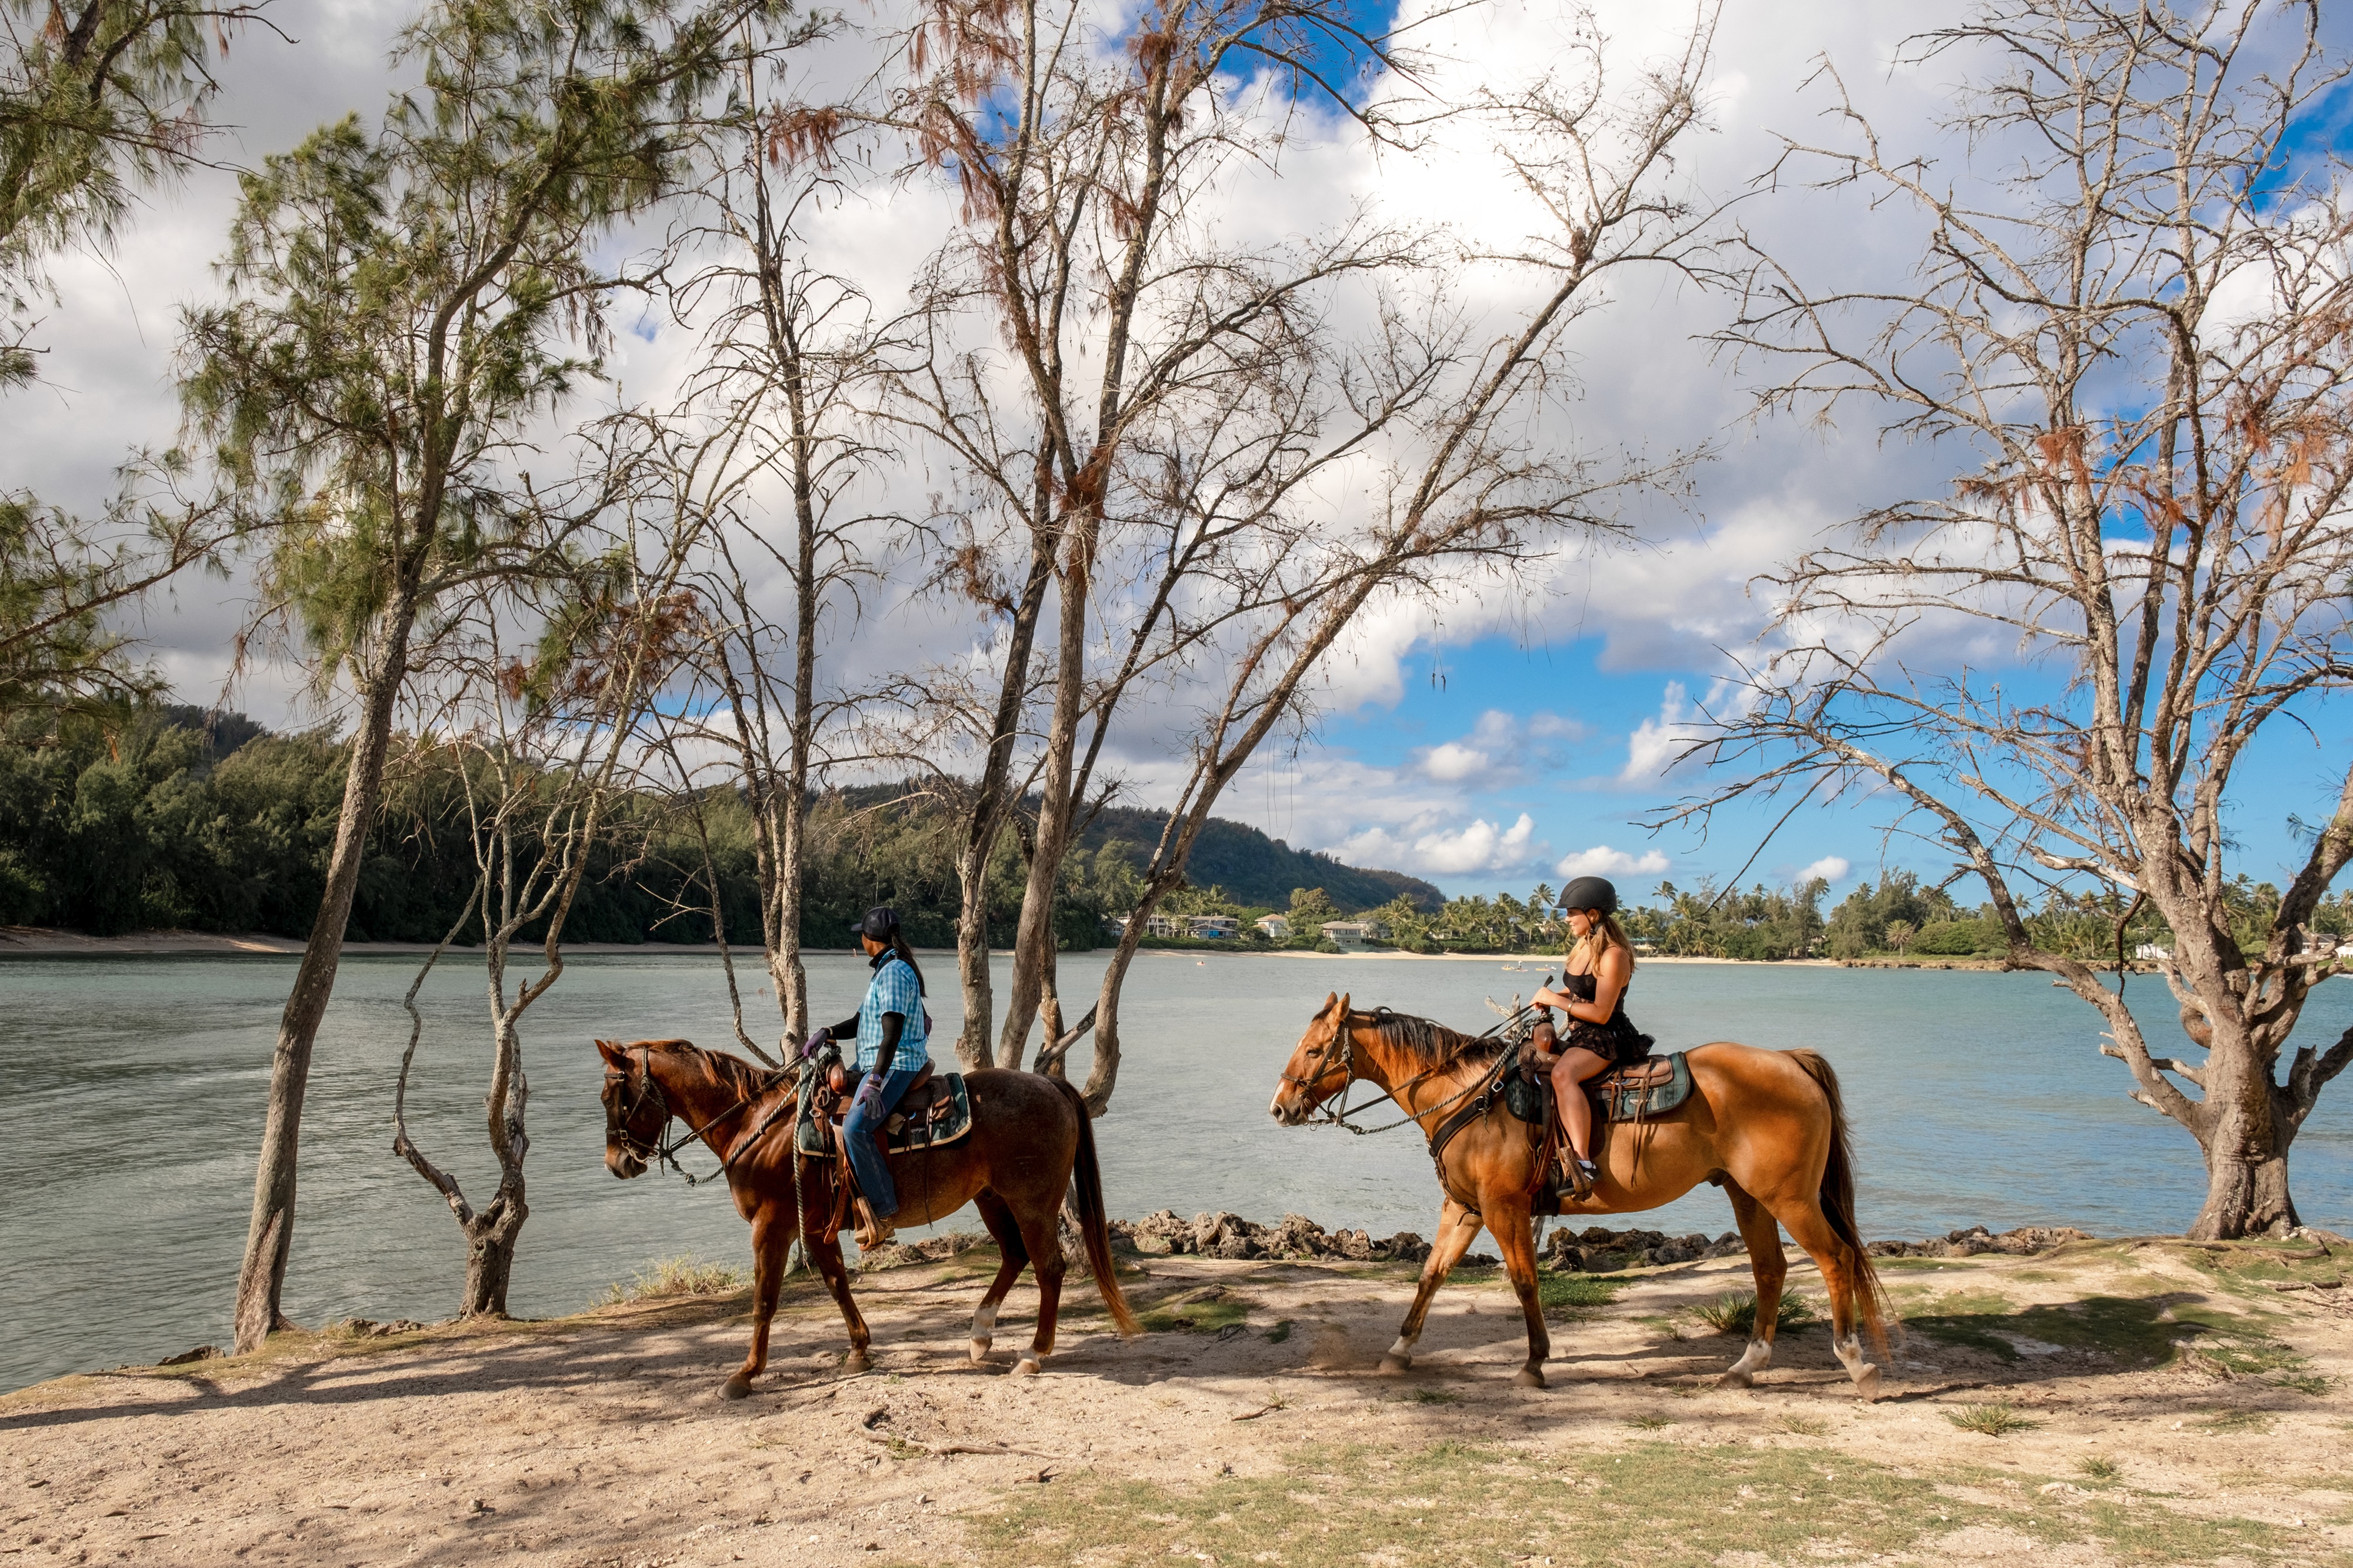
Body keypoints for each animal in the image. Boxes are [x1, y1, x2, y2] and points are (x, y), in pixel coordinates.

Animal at [593, 1036, 1134, 1393]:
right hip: (992, 1199)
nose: (617, 1163)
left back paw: (1034, 1354)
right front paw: (858, 1350)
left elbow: (765, 1300)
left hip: (1032, 1203)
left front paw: (745, 1374)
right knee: (1015, 1257)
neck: (758, 1125)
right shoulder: (814, 1227)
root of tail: (1052, 1085)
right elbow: (837, 1284)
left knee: (1049, 1268)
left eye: (612, 1096)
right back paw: (980, 1336)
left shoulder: (772, 1227)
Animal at [1271, 989, 1892, 1393]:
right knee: (1770, 1270)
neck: (1471, 1096)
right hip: (1749, 1196)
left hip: (1790, 1199)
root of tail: (1790, 1062)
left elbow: (1524, 1282)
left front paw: (1534, 1364)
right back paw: (1745, 1368)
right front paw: (1399, 1352)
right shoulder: (1465, 1207)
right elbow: (1431, 1274)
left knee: (1835, 1259)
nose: (1281, 1107)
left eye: (1315, 1049)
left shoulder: (1503, 1209)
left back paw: (1856, 1363)